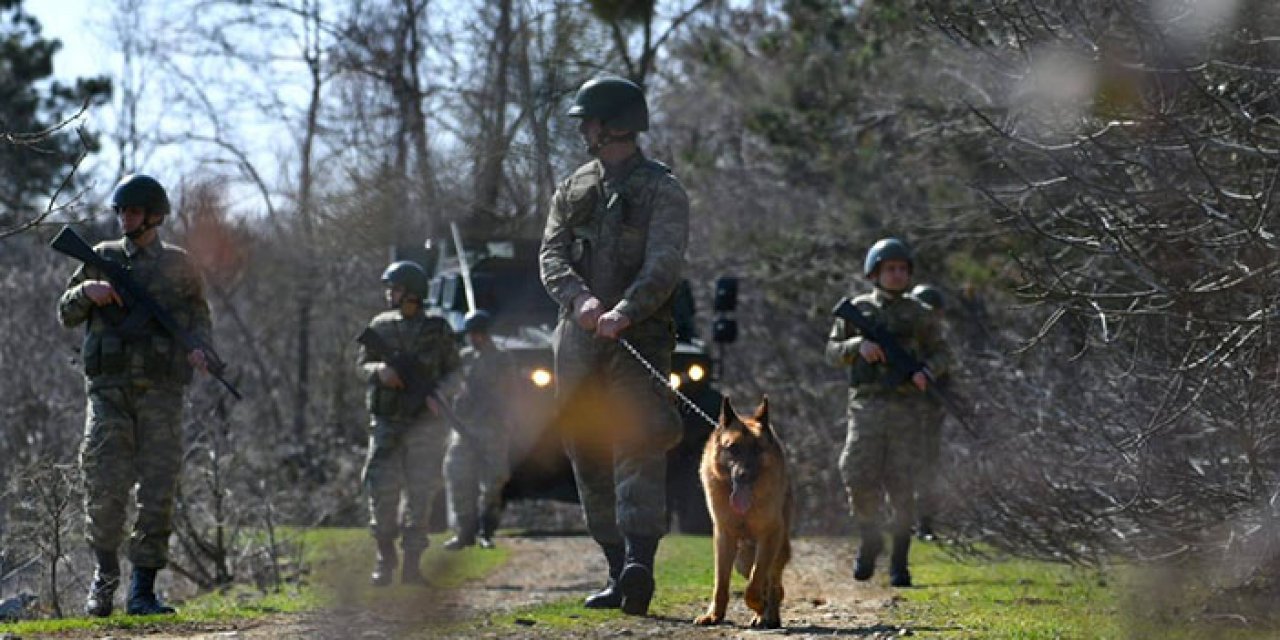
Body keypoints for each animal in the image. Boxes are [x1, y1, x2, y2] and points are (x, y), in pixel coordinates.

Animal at [696, 396, 783, 627]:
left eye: (757, 449)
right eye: (733, 448)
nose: (743, 475)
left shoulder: (769, 537)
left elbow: (755, 583)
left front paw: (760, 605)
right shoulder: (723, 537)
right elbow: (720, 583)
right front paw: (714, 615)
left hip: (775, 549)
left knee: (774, 584)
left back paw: (770, 614)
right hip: (742, 559)